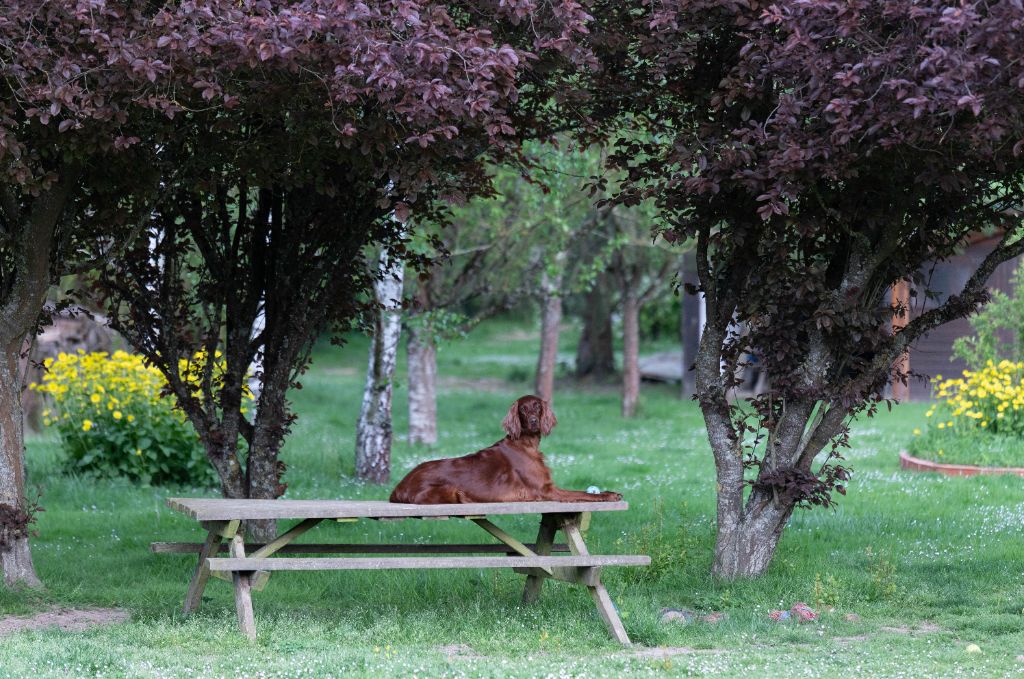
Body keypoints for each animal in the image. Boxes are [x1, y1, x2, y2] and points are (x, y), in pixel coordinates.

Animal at [387, 393, 618, 503]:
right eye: (523, 409)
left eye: (537, 406)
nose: (533, 421)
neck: (526, 444)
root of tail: (398, 487)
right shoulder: (547, 491)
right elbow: (584, 494)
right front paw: (608, 495)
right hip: (450, 490)